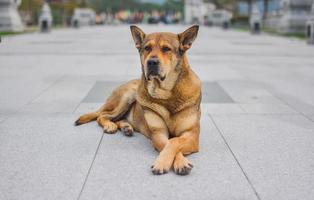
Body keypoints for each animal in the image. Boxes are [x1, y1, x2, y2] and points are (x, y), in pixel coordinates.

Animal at [75, 24, 201, 175]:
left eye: (166, 49)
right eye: (147, 48)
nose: (151, 62)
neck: (165, 94)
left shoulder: (191, 135)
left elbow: (175, 141)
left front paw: (176, 162)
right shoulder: (158, 133)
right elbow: (169, 143)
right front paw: (167, 162)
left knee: (116, 118)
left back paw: (126, 127)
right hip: (127, 96)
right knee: (103, 115)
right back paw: (110, 125)